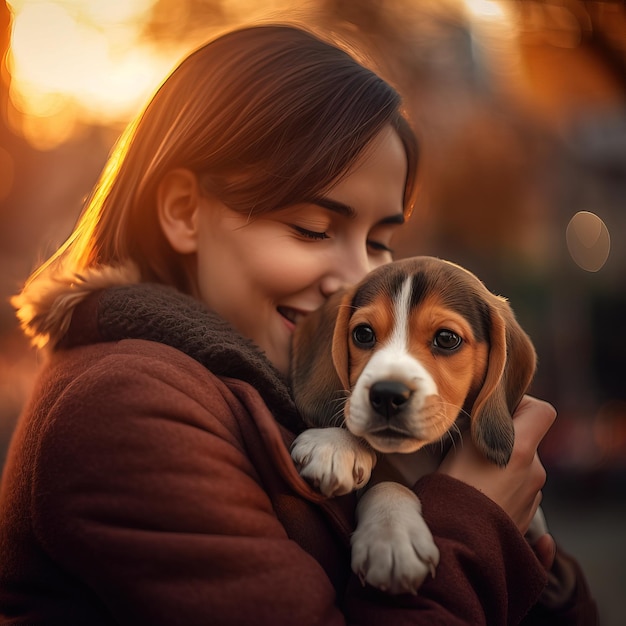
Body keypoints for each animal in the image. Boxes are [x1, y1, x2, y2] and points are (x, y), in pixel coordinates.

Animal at [288, 252, 540, 588]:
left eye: (446, 339)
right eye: (363, 334)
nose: (386, 395)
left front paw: (392, 538)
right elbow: (388, 483)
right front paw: (335, 445)